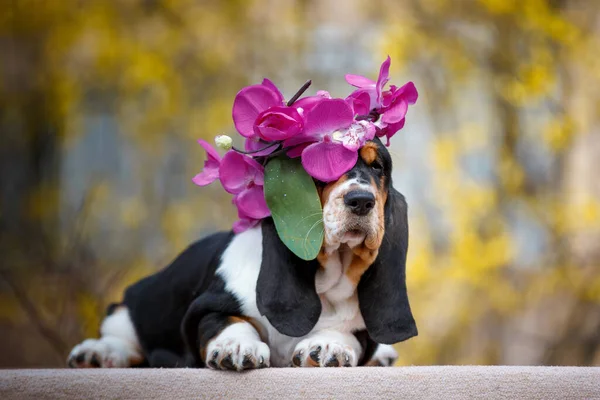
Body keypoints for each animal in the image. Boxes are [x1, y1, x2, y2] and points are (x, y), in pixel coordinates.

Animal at [68, 137, 418, 368]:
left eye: (377, 166)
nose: (361, 200)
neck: (325, 280)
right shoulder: (205, 309)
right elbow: (230, 320)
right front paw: (237, 346)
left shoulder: (361, 331)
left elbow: (349, 334)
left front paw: (328, 343)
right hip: (136, 304)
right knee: (121, 331)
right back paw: (96, 354)